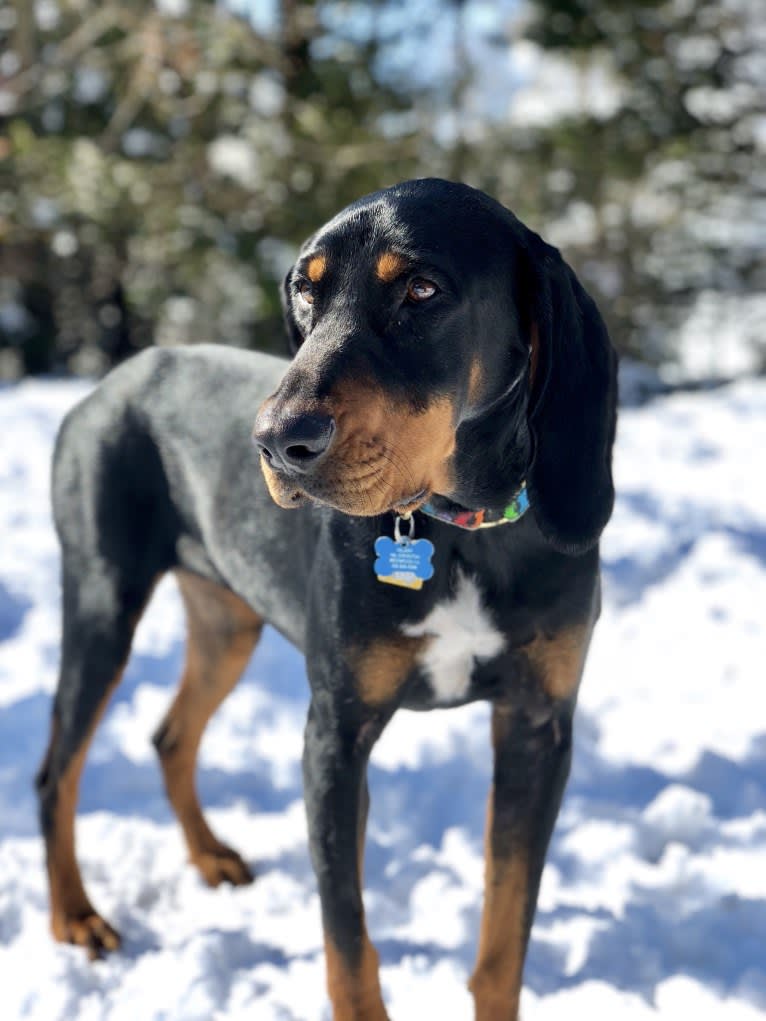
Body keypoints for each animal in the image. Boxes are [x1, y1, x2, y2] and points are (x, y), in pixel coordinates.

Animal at [39, 179, 620, 1016]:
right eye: (305, 292)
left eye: (422, 288)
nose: (278, 441)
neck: (461, 531)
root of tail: (106, 385)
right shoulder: (336, 735)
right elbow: (348, 941)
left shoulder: (538, 728)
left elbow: (504, 939)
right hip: (100, 602)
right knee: (58, 771)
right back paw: (77, 917)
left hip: (227, 621)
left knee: (170, 734)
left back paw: (209, 857)